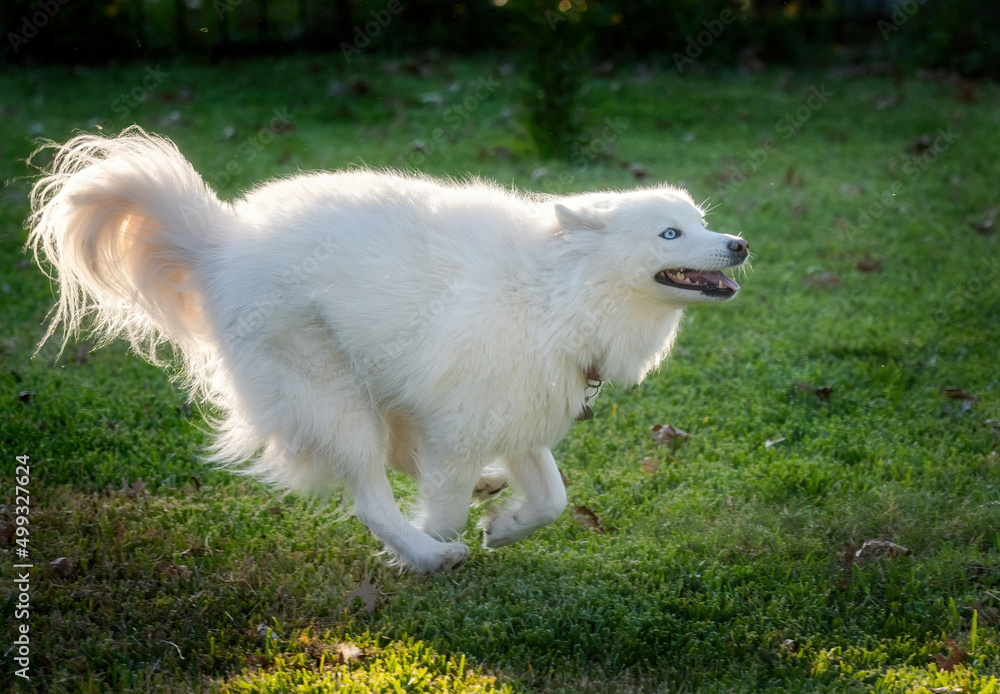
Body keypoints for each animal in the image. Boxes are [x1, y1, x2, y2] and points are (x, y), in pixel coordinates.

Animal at [27, 128, 752, 572]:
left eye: (701, 222)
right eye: (670, 233)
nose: (740, 243)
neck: (559, 291)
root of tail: (218, 244)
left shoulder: (514, 413)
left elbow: (552, 498)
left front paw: (505, 525)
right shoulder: (462, 426)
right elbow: (447, 509)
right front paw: (433, 543)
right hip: (334, 397)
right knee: (372, 498)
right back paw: (427, 557)